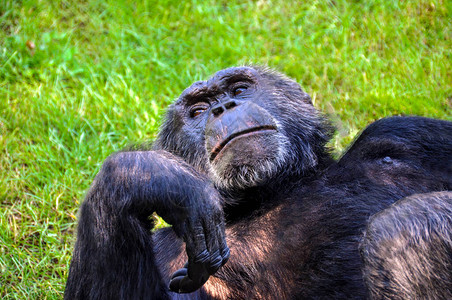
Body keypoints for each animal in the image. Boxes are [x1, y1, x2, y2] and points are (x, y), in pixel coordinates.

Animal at [64, 67, 452, 298]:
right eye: (198, 111)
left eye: (239, 88)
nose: (223, 108)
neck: (271, 192)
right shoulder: (167, 251)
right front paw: (150, 173)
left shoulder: (403, 134)